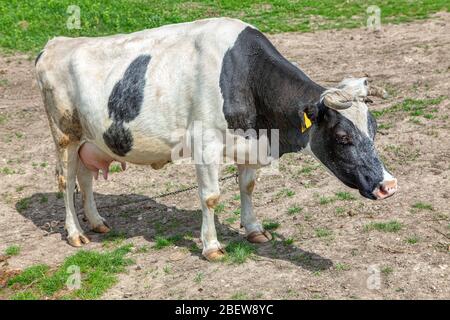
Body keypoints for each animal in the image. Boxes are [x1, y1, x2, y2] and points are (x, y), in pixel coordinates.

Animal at [36, 17, 398, 262]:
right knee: (65, 181)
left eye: (374, 129)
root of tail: (55, 43)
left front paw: (254, 230)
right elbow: (210, 197)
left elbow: (248, 187)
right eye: (342, 136)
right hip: (64, 135)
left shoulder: (251, 145)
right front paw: (211, 246)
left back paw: (97, 223)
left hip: (92, 140)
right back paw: (75, 233)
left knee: (85, 179)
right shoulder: (205, 145)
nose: (388, 186)